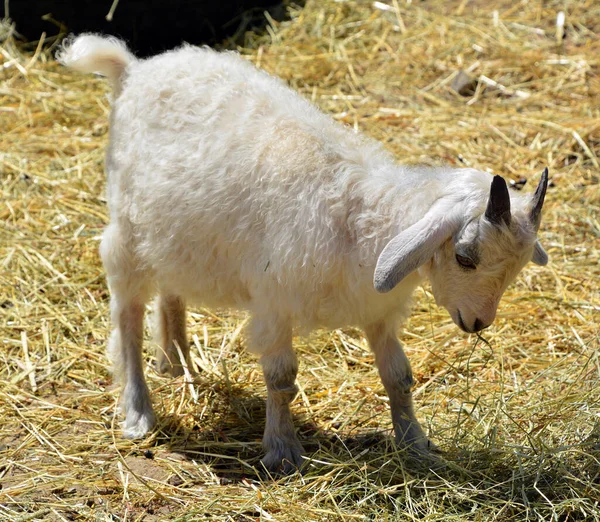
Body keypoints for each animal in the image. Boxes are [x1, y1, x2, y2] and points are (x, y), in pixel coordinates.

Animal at [59, 32, 548, 472]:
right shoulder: (274, 304)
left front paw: (415, 443)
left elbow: (398, 377)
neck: (358, 216)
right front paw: (282, 451)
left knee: (171, 290)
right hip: (128, 231)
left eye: (516, 270)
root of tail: (135, 69)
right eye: (465, 257)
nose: (478, 323)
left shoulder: (377, 309)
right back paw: (139, 410)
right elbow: (281, 379)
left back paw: (177, 363)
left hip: (177, 235)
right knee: (127, 314)